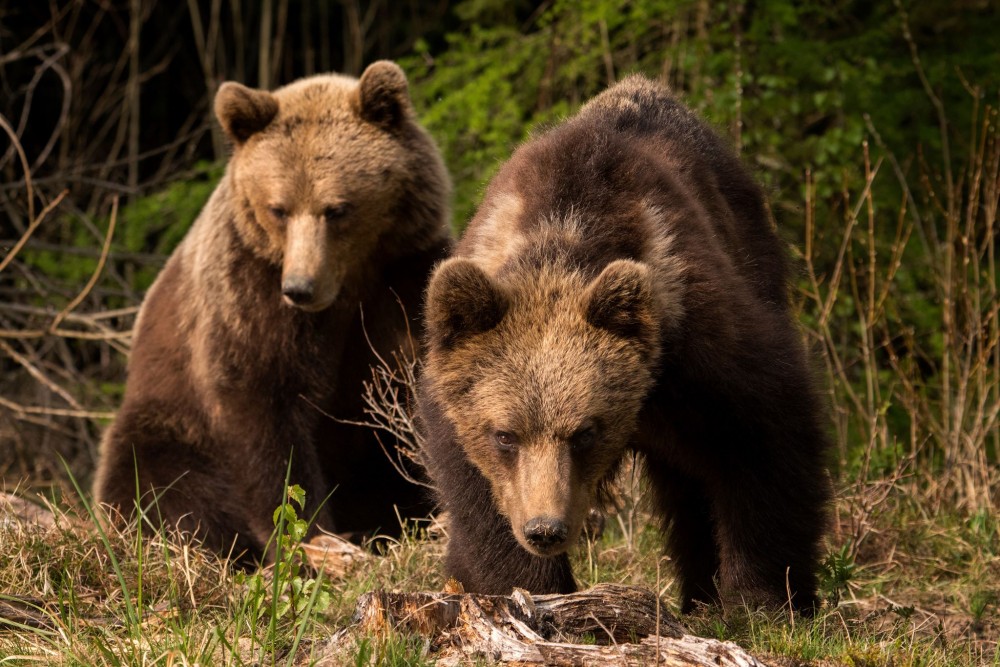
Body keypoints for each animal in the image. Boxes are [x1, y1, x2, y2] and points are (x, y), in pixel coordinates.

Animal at [94, 61, 454, 560]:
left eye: (336, 208)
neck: (349, 281)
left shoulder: (404, 275)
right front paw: (312, 536)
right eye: (278, 209)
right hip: (166, 421)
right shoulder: (250, 292)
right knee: (158, 483)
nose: (300, 287)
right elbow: (264, 404)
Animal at [418, 75, 832, 612]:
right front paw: (526, 588)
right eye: (505, 435)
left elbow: (766, 436)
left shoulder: (694, 341)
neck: (567, 231)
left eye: (585, 432)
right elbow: (479, 499)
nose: (545, 530)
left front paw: (761, 598)